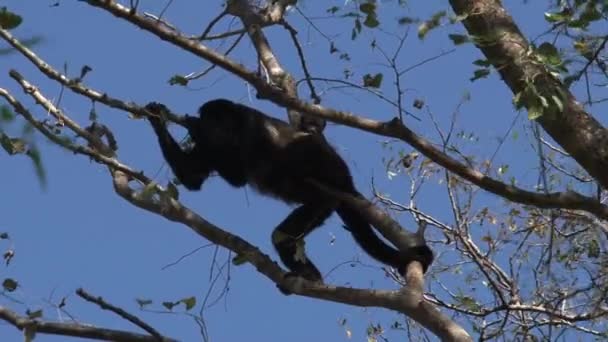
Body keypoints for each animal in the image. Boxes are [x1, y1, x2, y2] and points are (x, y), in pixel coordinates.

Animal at [147, 99, 432, 292]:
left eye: (216, 120)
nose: (207, 126)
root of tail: (345, 182)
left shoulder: (252, 130)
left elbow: (238, 176)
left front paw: (193, 127)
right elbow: (193, 178)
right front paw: (157, 117)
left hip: (324, 194)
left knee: (283, 229)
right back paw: (311, 276)